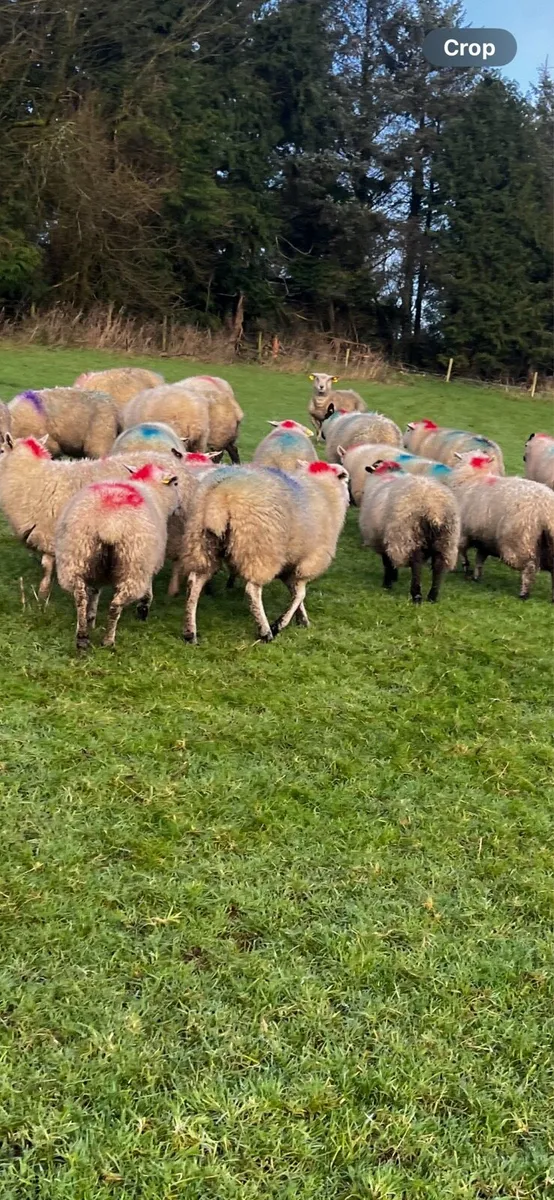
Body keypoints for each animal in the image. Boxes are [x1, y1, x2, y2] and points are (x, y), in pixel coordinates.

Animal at [55, 463, 179, 652]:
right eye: (176, 484)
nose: (179, 506)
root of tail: (110, 523)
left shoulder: (95, 572)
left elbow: (94, 593)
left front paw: (91, 619)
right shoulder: (149, 562)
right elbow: (147, 594)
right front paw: (143, 612)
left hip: (77, 556)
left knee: (80, 598)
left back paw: (82, 636)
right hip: (132, 564)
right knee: (115, 606)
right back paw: (108, 640)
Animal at [180, 459, 349, 643]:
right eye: (345, 478)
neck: (324, 490)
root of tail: (221, 491)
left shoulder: (289, 565)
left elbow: (294, 592)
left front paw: (301, 619)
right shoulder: (310, 560)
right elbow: (300, 594)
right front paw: (280, 624)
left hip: (201, 541)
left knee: (194, 582)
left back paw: (190, 632)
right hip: (260, 549)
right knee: (252, 590)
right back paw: (265, 631)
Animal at [359, 460, 461, 603]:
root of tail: (433, 508)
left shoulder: (383, 538)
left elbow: (387, 563)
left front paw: (388, 583)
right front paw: (393, 578)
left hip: (407, 534)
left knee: (416, 563)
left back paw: (416, 595)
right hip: (447, 538)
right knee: (439, 565)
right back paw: (432, 596)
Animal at [448, 452, 554, 600]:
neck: (472, 477)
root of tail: (547, 508)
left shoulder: (464, 533)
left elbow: (463, 552)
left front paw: (465, 569)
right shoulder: (485, 538)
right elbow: (480, 558)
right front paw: (476, 576)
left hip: (519, 540)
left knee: (529, 567)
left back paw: (524, 593)